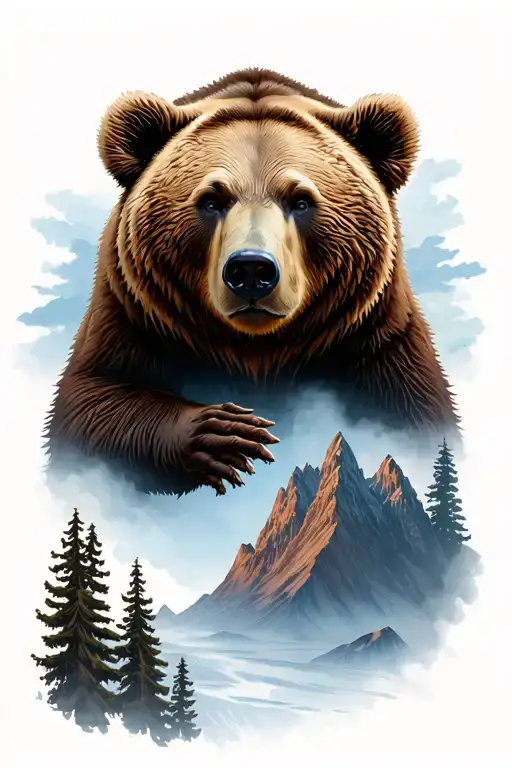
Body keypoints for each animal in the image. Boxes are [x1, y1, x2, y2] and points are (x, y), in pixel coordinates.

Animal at [45, 67, 460, 497]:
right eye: (212, 200)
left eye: (301, 200)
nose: (250, 271)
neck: (258, 352)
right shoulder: (134, 312)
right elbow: (91, 401)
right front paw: (224, 434)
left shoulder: (377, 340)